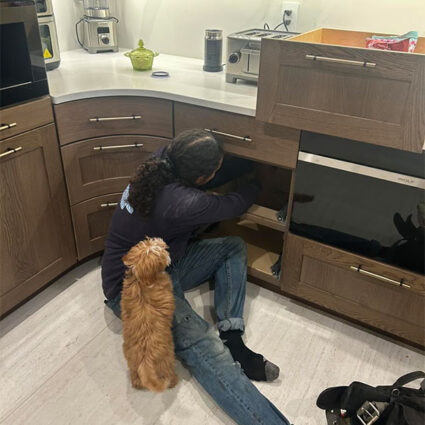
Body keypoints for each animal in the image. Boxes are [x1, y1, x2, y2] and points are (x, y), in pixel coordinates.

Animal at [121, 237, 178, 392]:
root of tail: (145, 362)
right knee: (169, 373)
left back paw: (137, 384)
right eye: (160, 252)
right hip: (167, 360)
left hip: (132, 363)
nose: (165, 246)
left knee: (135, 377)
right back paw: (173, 382)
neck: (140, 279)